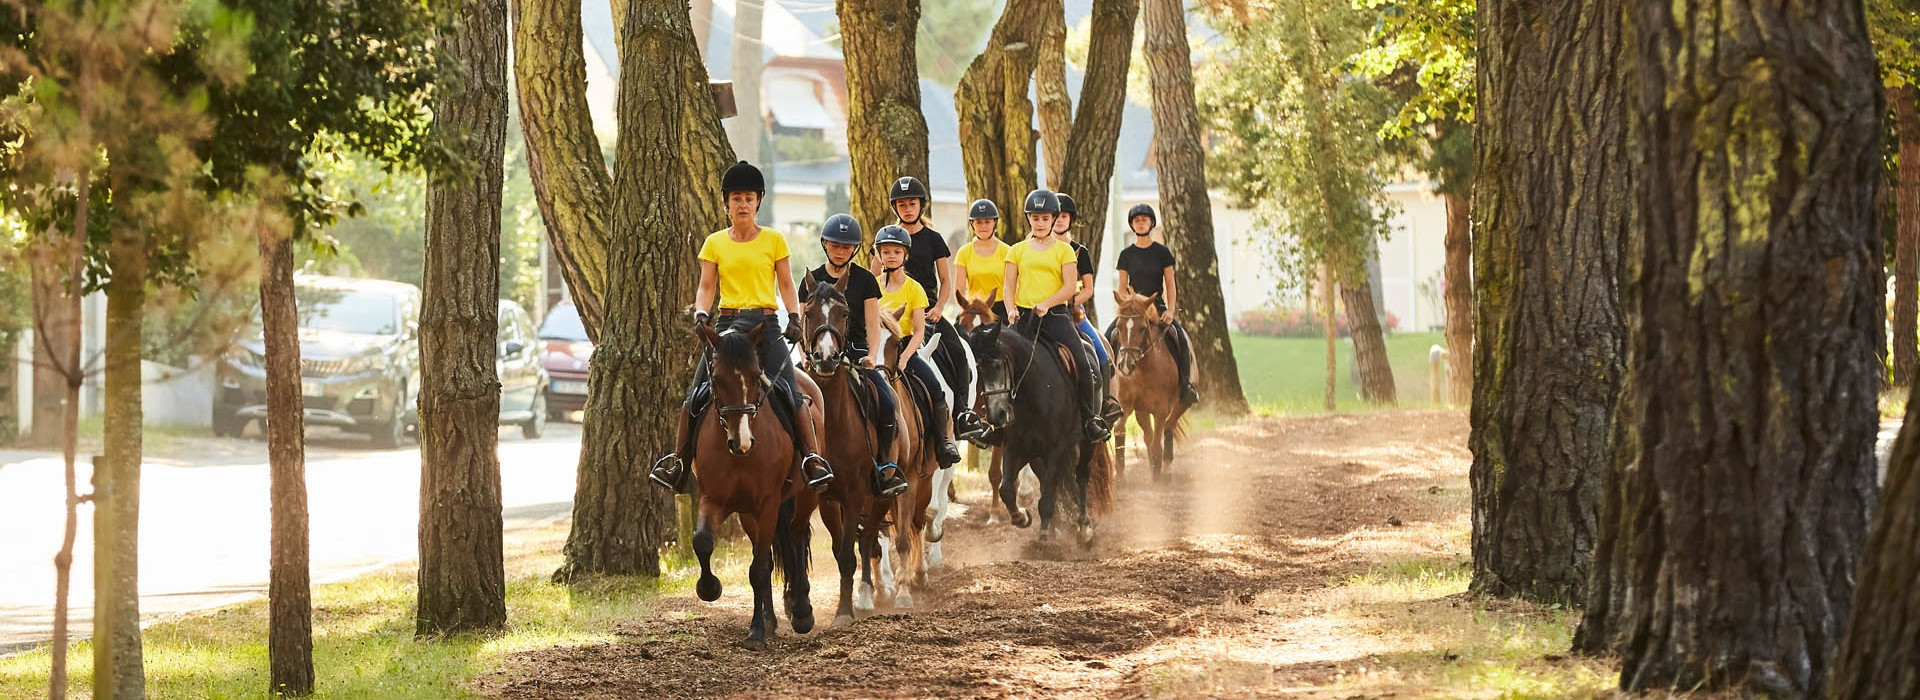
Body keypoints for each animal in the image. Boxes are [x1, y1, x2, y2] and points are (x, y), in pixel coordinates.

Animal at [687, 322, 814, 648]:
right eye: (717, 379)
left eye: (756, 377)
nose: (741, 442)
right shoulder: (714, 498)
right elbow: (702, 542)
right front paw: (709, 588)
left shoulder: (768, 503)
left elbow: (758, 569)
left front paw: (755, 632)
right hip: (749, 514)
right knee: (772, 552)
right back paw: (772, 617)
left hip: (804, 497)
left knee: (796, 539)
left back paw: (801, 611)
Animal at [794, 276, 898, 625]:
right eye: (809, 312)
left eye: (844, 313)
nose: (826, 358)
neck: (834, 423)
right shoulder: (828, 499)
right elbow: (841, 553)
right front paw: (842, 610)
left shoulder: (854, 495)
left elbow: (855, 551)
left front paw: (848, 609)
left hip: (881, 495)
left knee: (869, 540)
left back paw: (868, 595)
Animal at [1113, 287, 1182, 479]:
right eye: (1118, 327)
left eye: (1142, 328)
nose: (1125, 366)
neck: (1144, 370)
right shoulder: (1126, 404)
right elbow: (1119, 430)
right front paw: (1120, 475)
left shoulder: (1161, 410)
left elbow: (1157, 445)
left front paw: (1157, 477)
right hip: (1142, 411)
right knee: (1149, 436)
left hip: (1178, 406)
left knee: (1168, 428)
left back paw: (1165, 470)